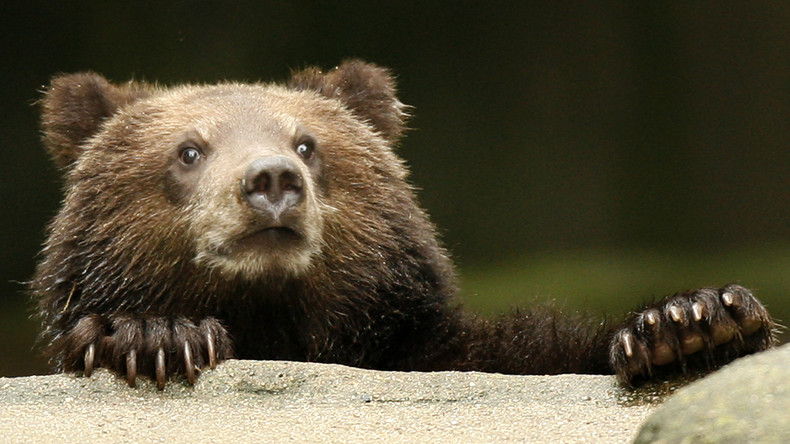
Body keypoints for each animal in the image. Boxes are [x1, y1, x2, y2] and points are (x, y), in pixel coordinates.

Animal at [32, 59, 780, 388]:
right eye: (189, 150)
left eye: (308, 143)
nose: (272, 182)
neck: (278, 324)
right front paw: (153, 337)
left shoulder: (434, 352)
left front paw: (689, 323)